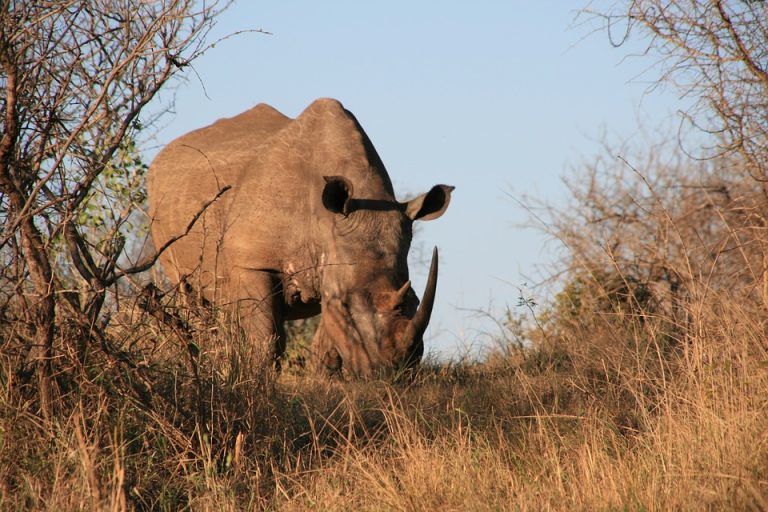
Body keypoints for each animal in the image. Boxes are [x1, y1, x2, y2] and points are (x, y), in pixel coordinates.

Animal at [148, 98, 453, 377]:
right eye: (346, 305)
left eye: (415, 300)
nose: (394, 372)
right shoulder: (253, 263)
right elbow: (265, 337)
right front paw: (260, 380)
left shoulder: (333, 267)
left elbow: (326, 339)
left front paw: (325, 380)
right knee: (189, 294)